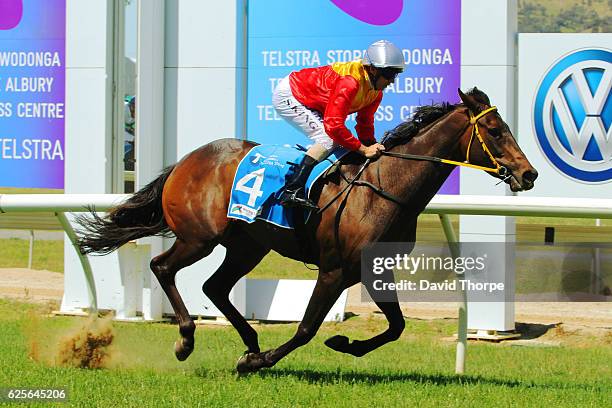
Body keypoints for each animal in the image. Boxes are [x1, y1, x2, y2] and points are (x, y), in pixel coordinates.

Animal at [75, 88, 536, 372]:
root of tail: (186, 160)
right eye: (495, 130)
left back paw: (250, 339)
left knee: (214, 287)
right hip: (198, 237)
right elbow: (306, 328)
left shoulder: (374, 270)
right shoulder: (333, 270)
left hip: (246, 246)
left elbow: (397, 326)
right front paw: (258, 363)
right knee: (163, 267)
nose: (528, 174)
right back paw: (188, 340)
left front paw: (346, 345)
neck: (383, 188)